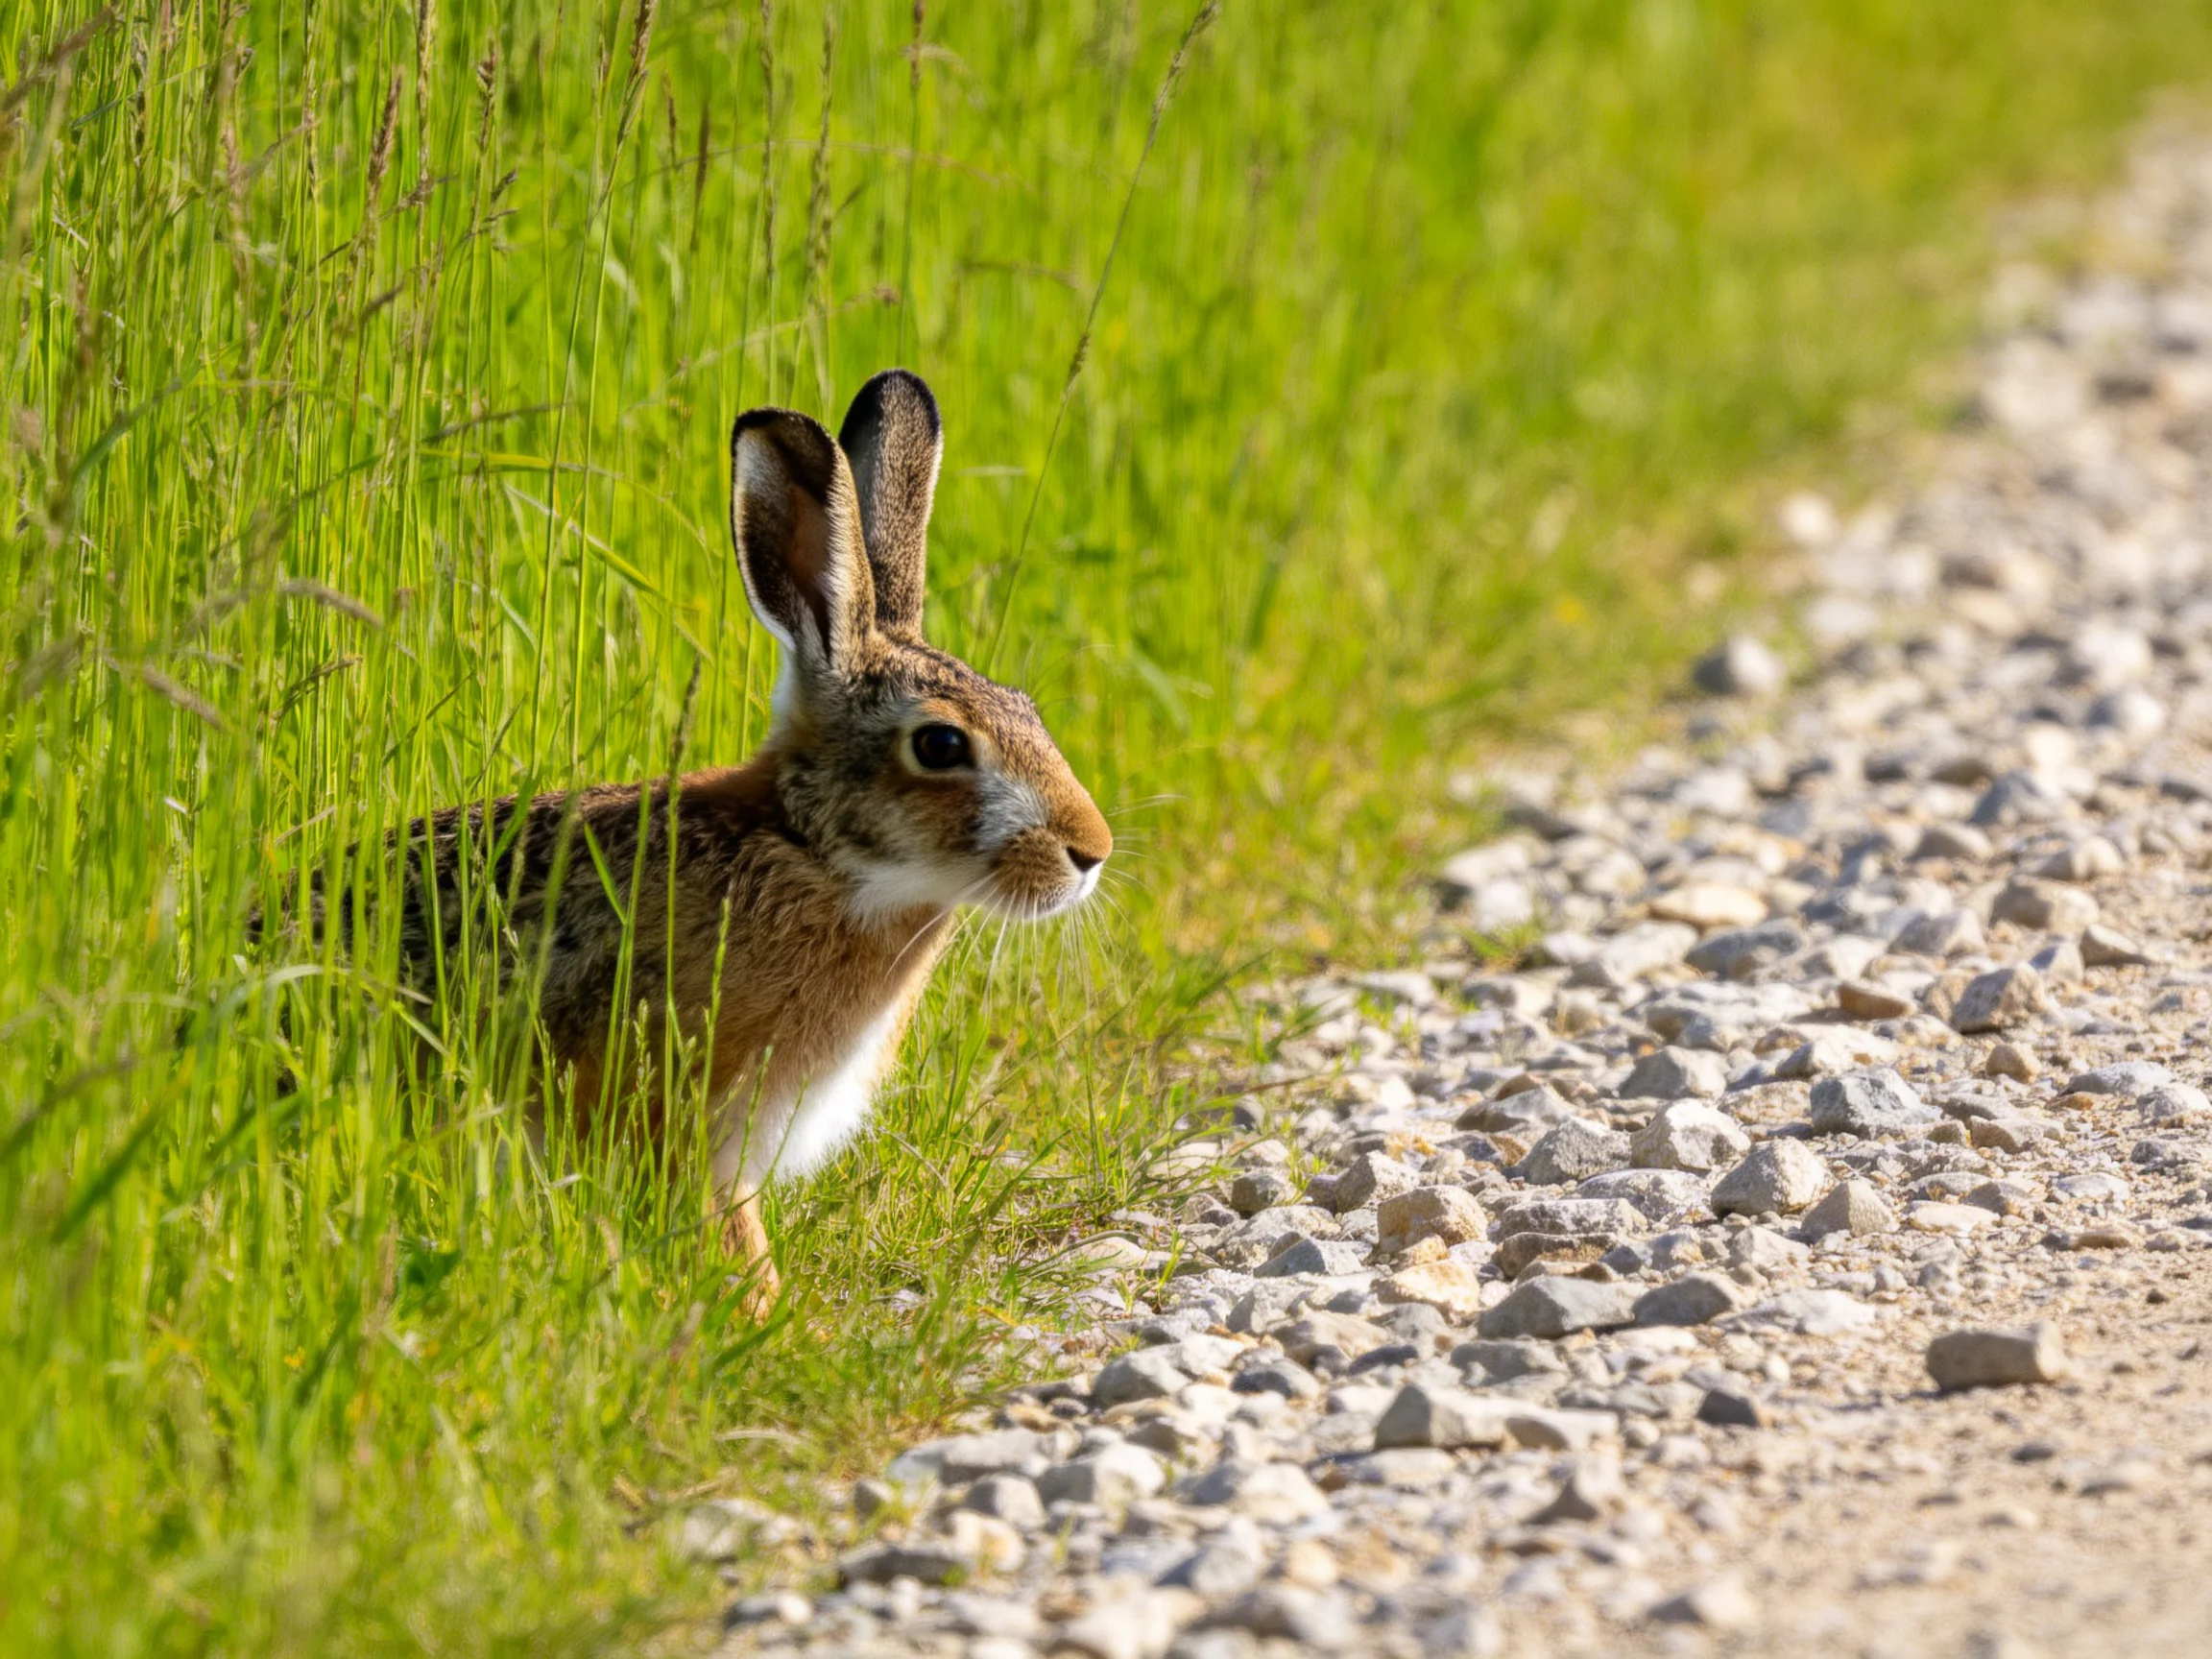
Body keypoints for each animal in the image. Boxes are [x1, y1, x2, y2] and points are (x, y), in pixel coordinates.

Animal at [343, 369, 1112, 1315]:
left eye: (1030, 711)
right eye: (940, 745)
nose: (1090, 851)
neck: (814, 855)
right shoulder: (680, 1119)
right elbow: (726, 1233)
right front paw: (766, 1314)